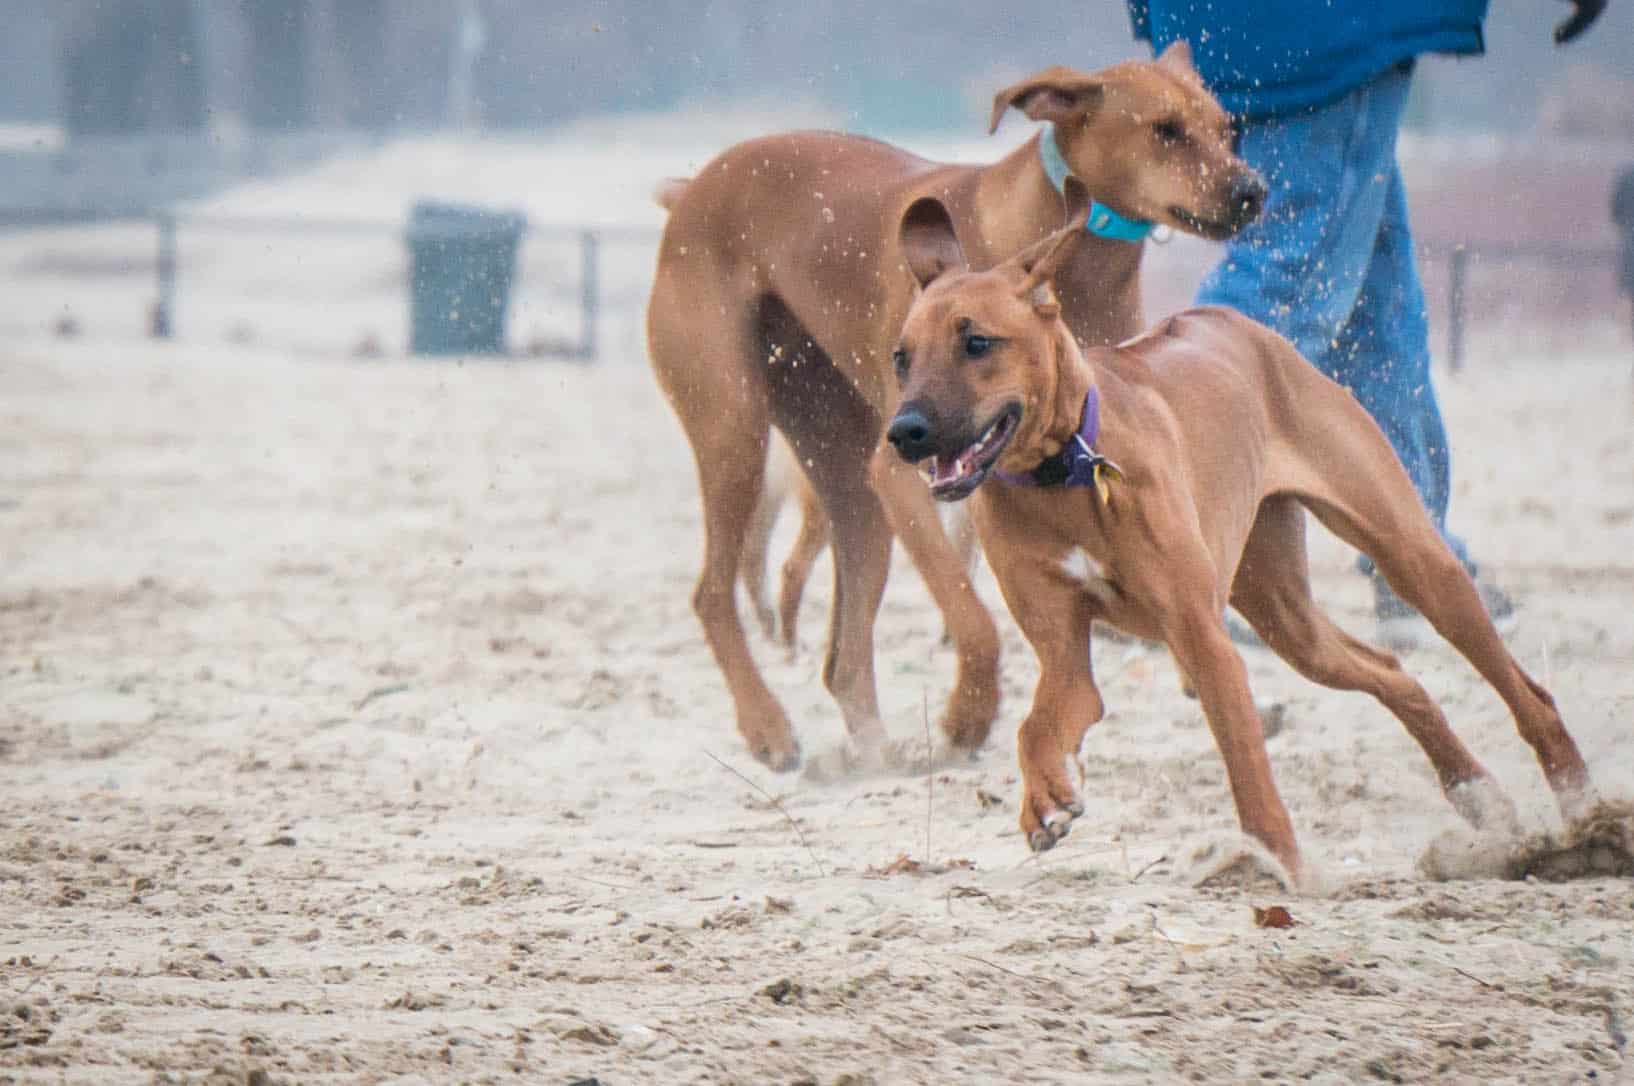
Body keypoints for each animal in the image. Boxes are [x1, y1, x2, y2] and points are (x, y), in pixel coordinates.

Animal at [650, 44, 1261, 770]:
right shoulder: (906, 474)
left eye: (1227, 129)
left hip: (844, 476)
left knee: (844, 656)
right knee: (713, 592)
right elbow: (973, 617)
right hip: (735, 429)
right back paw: (766, 724)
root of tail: (693, 190)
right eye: (1166, 129)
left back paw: (874, 755)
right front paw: (968, 716)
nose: (1253, 191)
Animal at [882, 173, 1594, 875]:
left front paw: (1281, 864)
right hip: (1286, 615)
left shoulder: (1202, 638)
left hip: (1416, 560)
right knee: (1389, 671)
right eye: (901, 357)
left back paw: (1581, 806)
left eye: (977, 343)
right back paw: (1475, 793)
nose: (904, 432)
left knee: (1524, 688)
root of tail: (1234, 321)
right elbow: (1039, 723)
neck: (1067, 470)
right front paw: (1046, 800)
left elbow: (1243, 755)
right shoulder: (1063, 649)